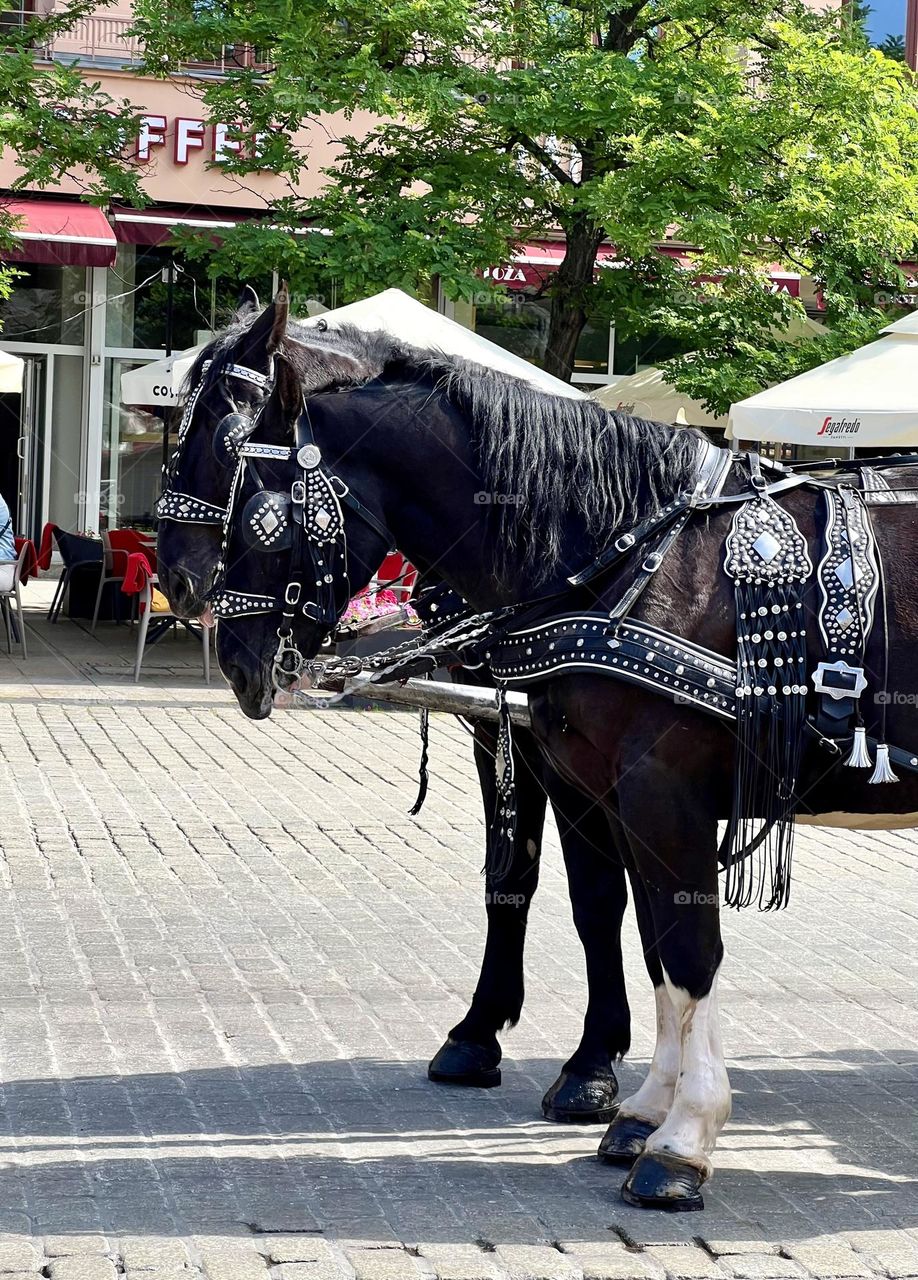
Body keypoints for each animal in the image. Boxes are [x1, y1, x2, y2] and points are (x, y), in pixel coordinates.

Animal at [156, 293, 632, 1129]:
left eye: (225, 439)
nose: (174, 577)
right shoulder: (502, 734)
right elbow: (508, 877)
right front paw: (477, 1033)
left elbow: (599, 896)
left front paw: (595, 1061)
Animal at [205, 303, 918, 1212]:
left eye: (256, 506)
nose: (233, 657)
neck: (632, 559)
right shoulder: (609, 792)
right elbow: (647, 941)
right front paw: (643, 1107)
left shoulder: (661, 795)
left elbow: (688, 948)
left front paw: (685, 1138)